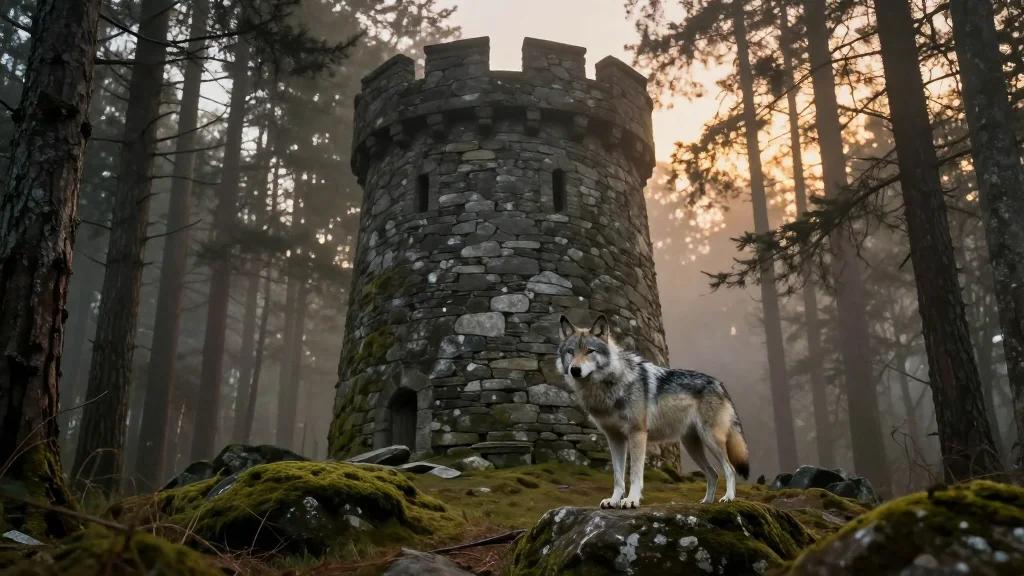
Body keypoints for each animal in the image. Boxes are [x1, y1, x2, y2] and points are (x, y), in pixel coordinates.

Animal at [556, 314, 750, 509]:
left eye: (590, 351)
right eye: (571, 352)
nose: (575, 370)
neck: (611, 384)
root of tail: (719, 384)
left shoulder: (637, 433)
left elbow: (635, 473)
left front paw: (631, 500)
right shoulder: (615, 438)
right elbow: (618, 477)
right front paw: (614, 500)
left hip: (711, 439)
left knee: (730, 469)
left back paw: (728, 498)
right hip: (692, 446)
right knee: (713, 474)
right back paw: (706, 502)